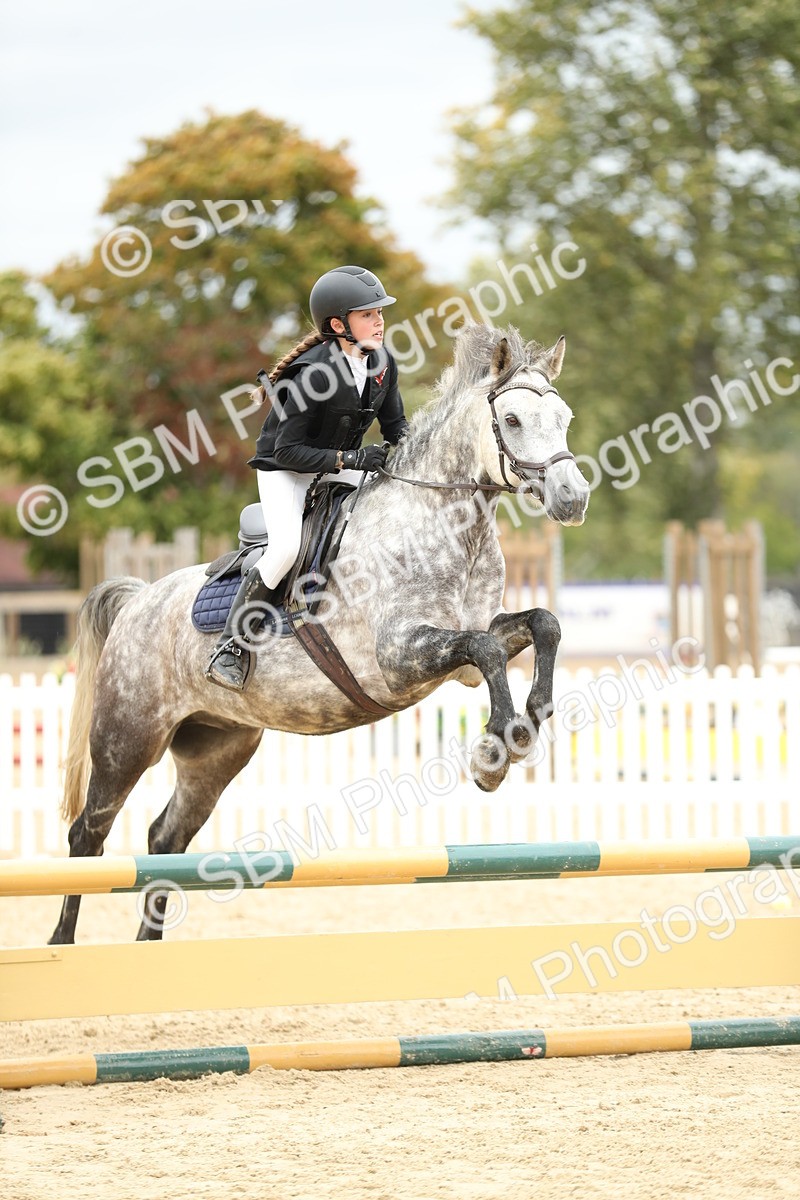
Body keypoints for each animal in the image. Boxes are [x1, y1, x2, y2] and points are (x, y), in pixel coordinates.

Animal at [49, 323, 591, 944]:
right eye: (514, 420)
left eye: (565, 417)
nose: (573, 498)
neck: (446, 524)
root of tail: (138, 599)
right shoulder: (397, 657)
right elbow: (482, 649)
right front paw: (495, 753)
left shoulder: (468, 652)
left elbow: (540, 625)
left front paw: (529, 722)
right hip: (127, 738)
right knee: (88, 834)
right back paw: (61, 945)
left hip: (217, 748)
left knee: (166, 837)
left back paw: (148, 946)